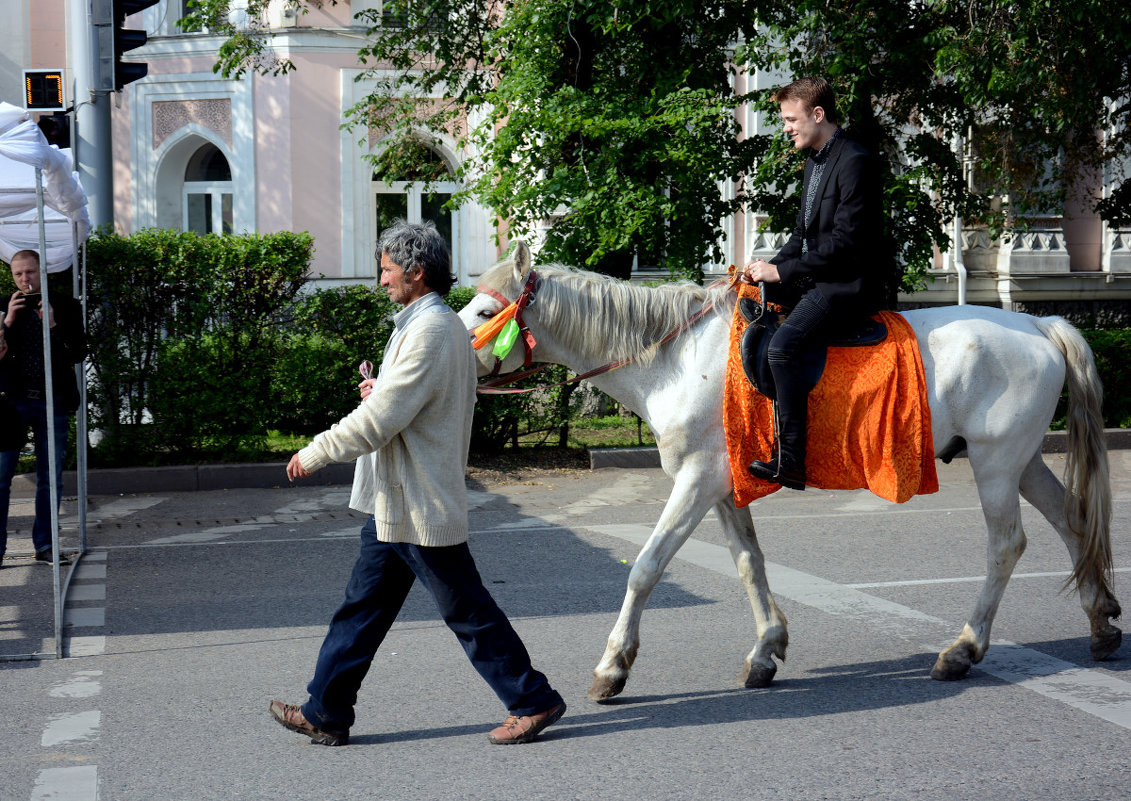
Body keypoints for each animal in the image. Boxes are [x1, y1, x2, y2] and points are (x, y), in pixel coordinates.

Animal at [454, 244, 1117, 701]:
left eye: (486, 309)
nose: (450, 353)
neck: (676, 358)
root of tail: (1038, 325)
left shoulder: (696, 482)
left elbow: (645, 567)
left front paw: (613, 665)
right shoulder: (722, 488)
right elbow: (750, 563)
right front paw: (766, 650)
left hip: (997, 466)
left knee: (1006, 544)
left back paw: (964, 648)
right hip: (1023, 462)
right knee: (1073, 523)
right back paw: (1101, 620)